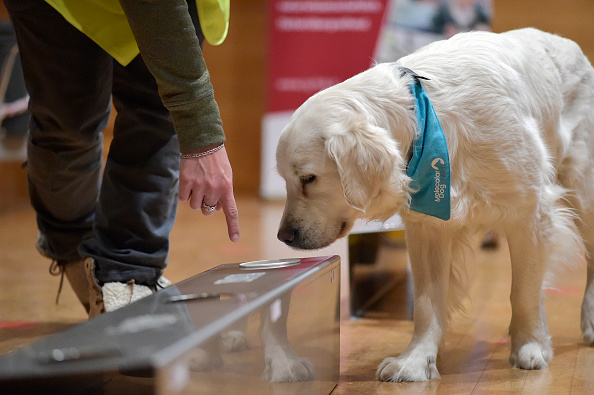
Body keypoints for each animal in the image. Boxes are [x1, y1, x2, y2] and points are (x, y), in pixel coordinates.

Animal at [274, 29, 592, 382]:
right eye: (286, 179)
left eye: (308, 178)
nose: (283, 236)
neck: (426, 117)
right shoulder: (428, 227)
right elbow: (427, 304)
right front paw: (415, 359)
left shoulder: (530, 213)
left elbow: (524, 292)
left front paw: (530, 346)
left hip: (584, 191)